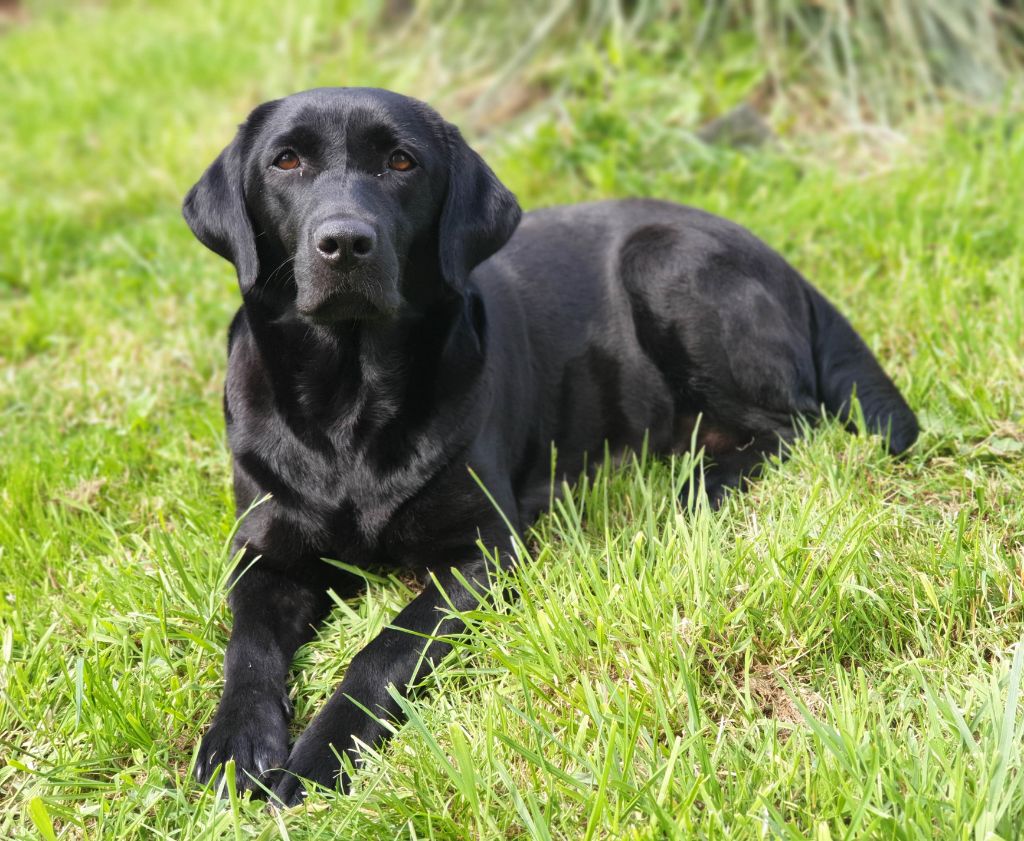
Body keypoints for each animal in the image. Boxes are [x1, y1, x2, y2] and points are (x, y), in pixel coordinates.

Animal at [184, 88, 921, 803]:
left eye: (400, 162)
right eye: (286, 161)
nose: (344, 241)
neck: (349, 400)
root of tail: (781, 259)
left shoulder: (484, 549)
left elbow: (386, 647)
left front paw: (320, 755)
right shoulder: (266, 552)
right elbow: (246, 645)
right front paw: (236, 742)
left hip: (664, 261)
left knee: (796, 424)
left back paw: (695, 488)